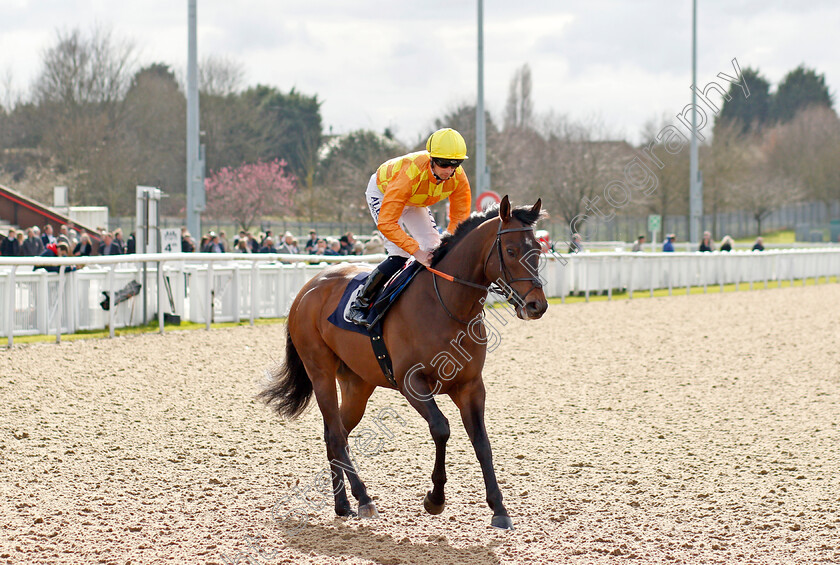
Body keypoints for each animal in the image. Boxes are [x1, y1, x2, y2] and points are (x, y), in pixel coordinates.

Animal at [262, 195, 552, 528]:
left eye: (538, 249)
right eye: (511, 251)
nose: (536, 305)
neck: (448, 305)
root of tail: (307, 288)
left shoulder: (470, 385)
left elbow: (482, 442)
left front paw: (499, 509)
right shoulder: (411, 382)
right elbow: (441, 429)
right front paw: (435, 499)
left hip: (357, 384)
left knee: (335, 434)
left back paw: (342, 504)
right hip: (319, 370)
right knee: (335, 433)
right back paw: (363, 499)